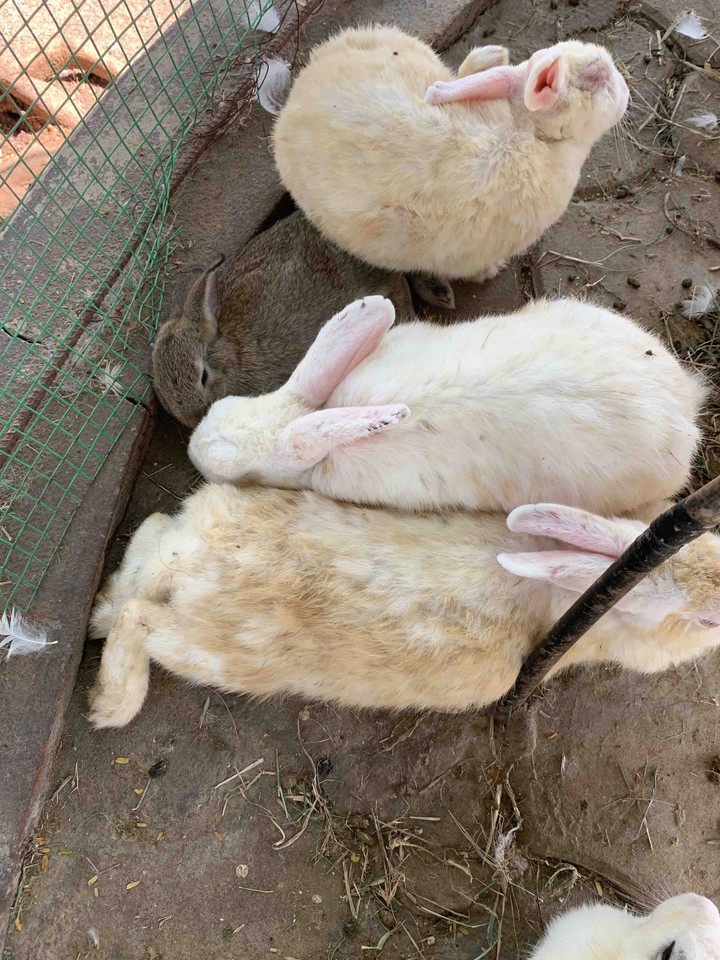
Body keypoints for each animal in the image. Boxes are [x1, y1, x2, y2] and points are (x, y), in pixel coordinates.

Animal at [86, 487, 720, 728]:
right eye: (707, 618)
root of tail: (202, 560)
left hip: (187, 539)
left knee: (150, 539)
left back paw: (96, 613)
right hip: (223, 653)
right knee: (140, 618)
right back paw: (109, 706)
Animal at [273, 27, 630, 285]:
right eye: (598, 77)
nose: (626, 89)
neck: (529, 130)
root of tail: (291, 103)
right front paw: (491, 271)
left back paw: (489, 56)